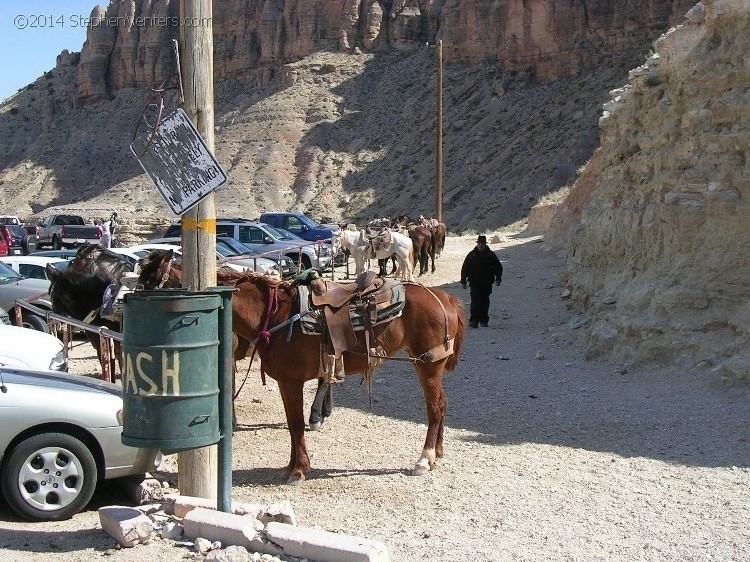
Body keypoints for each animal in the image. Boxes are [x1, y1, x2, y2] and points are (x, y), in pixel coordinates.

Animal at [142, 258, 464, 482]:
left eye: (153, 285)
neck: (272, 315)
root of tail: (444, 298)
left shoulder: (291, 381)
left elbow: (296, 424)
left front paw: (298, 470)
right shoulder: (287, 383)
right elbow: (290, 423)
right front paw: (291, 466)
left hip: (428, 365)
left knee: (435, 408)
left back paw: (424, 459)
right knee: (443, 405)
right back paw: (438, 454)